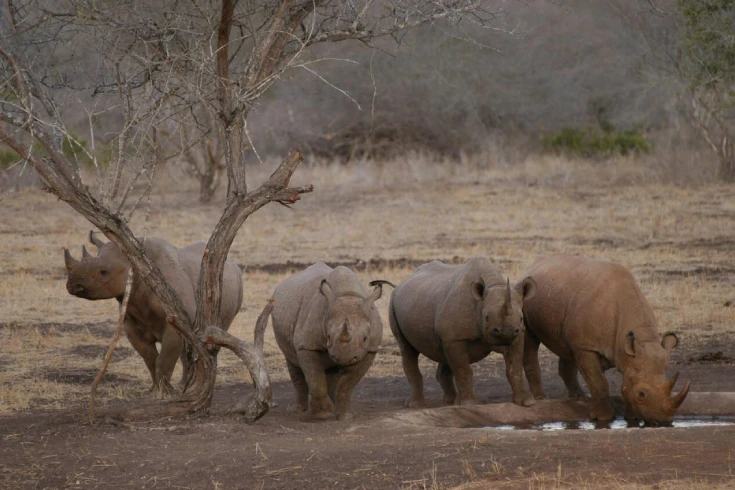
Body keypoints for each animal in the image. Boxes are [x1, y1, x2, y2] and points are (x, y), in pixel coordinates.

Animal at [64, 231, 243, 395]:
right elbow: (149, 357)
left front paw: (166, 392)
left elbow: (164, 359)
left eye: (104, 272)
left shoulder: (174, 322)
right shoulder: (131, 325)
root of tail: (233, 264)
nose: (73, 285)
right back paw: (184, 386)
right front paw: (154, 389)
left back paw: (188, 386)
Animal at [256, 262, 388, 420]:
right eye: (328, 337)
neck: (347, 293)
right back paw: (297, 410)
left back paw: (333, 406)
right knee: (293, 363)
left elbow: (348, 384)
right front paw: (322, 413)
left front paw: (346, 416)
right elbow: (315, 379)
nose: (344, 358)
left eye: (365, 338)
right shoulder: (307, 346)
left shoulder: (370, 350)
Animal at [388, 257, 537, 408]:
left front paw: (527, 402)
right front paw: (468, 403)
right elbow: (463, 369)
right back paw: (416, 405)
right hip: (393, 302)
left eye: (521, 318)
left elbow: (515, 367)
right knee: (407, 348)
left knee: (443, 354)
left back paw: (450, 402)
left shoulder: (518, 334)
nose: (506, 332)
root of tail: (402, 283)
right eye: (486, 317)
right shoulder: (455, 339)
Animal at [520, 254, 690, 424]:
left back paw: (579, 398)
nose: (663, 421)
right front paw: (604, 418)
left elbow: (625, 383)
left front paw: (632, 418)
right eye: (641, 394)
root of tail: (534, 265)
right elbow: (598, 383)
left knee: (567, 348)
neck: (642, 340)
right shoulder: (587, 347)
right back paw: (541, 399)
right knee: (531, 341)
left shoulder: (627, 354)